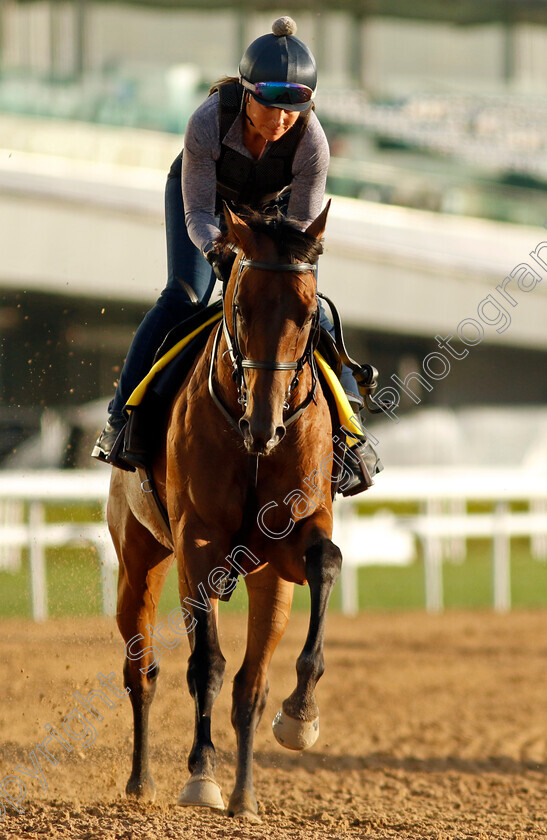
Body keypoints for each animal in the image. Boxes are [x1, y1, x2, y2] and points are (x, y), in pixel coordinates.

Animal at [108, 202, 342, 820]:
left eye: (309, 315)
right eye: (242, 306)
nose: (265, 425)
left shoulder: (294, 536)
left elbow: (326, 561)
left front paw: (300, 717)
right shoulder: (198, 543)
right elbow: (205, 664)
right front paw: (200, 776)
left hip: (266, 581)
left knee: (250, 686)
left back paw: (245, 795)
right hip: (138, 557)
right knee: (142, 669)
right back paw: (142, 783)